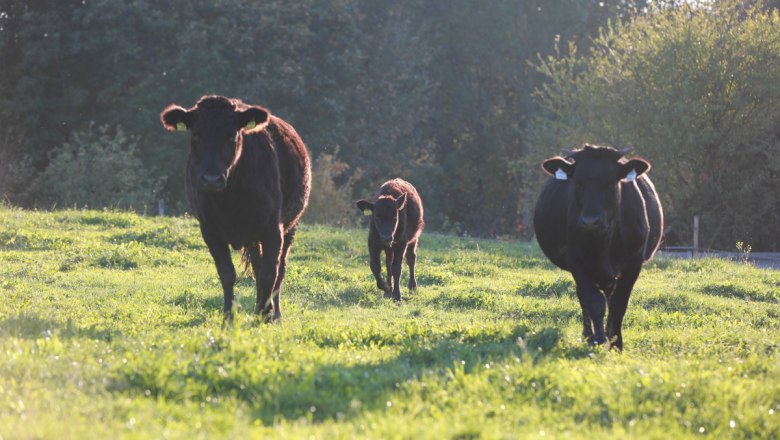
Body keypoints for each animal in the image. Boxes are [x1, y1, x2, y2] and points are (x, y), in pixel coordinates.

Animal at [161, 94, 310, 322]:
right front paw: (229, 316)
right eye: (196, 136)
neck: (229, 202)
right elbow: (227, 273)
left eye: (232, 136)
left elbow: (270, 273)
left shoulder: (272, 229)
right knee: (257, 264)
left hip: (290, 226)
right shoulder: (210, 231)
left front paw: (265, 315)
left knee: (280, 268)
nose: (211, 179)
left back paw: (273, 312)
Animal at [532, 144, 660, 350]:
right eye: (578, 183)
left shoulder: (634, 263)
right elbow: (594, 302)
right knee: (584, 297)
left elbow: (618, 304)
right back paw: (589, 335)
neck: (603, 242)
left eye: (610, 184)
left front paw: (616, 343)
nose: (590, 222)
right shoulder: (576, 261)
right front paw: (598, 339)